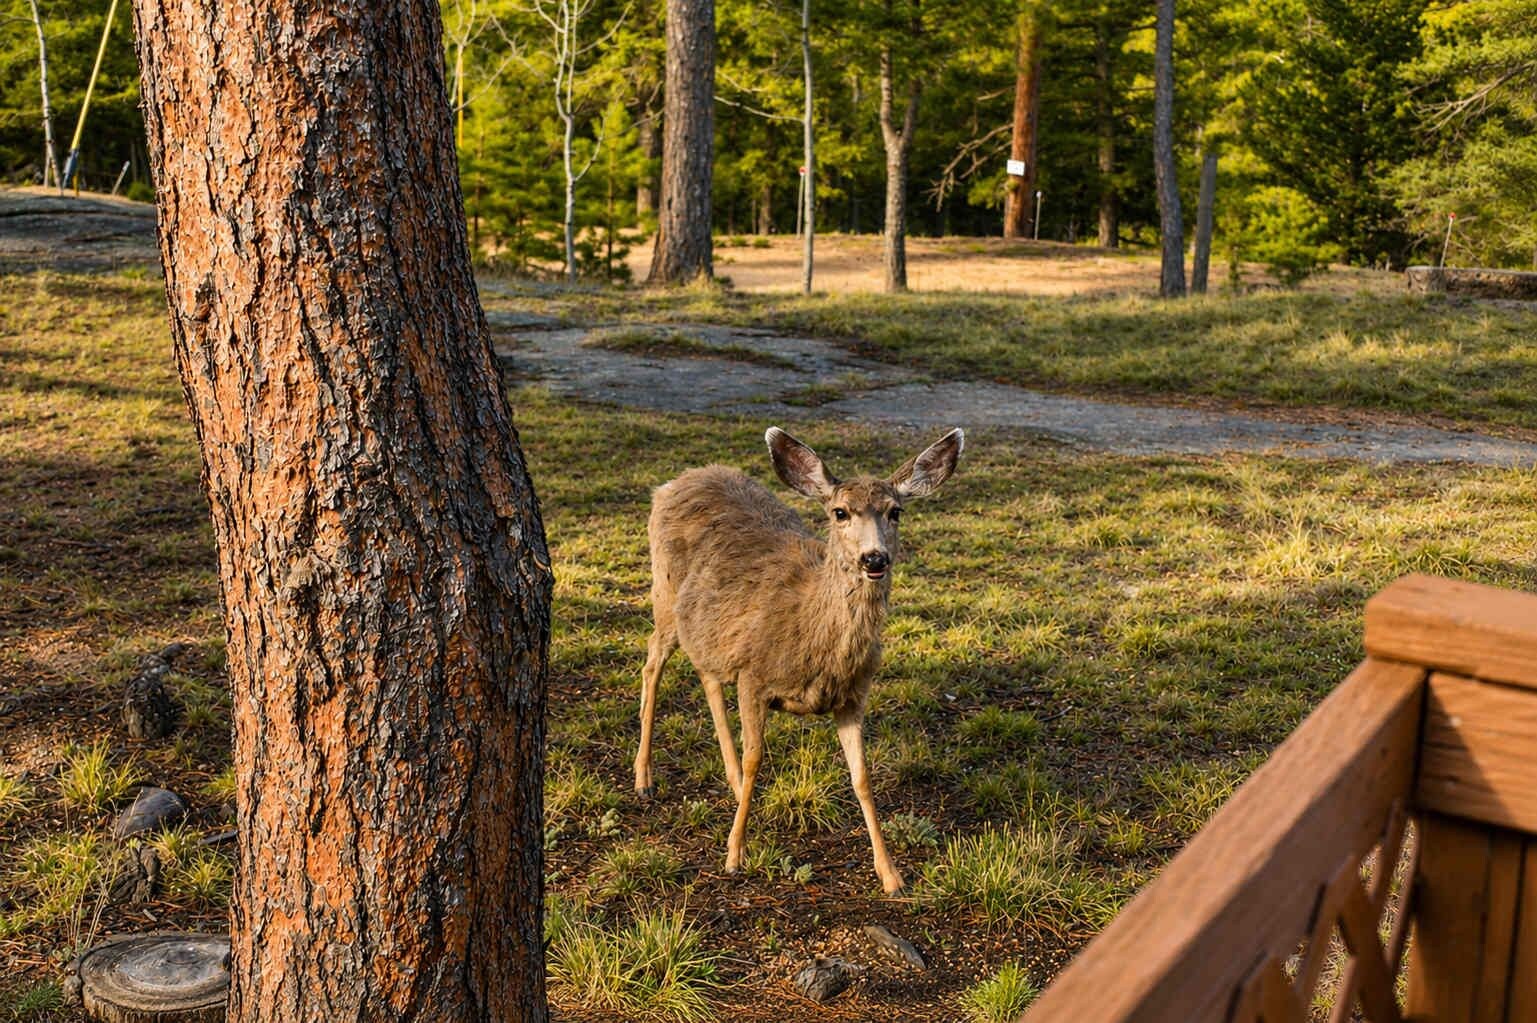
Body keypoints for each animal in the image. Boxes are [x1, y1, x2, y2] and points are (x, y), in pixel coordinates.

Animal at [632, 425, 964, 894]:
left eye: (895, 511)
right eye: (840, 512)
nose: (874, 558)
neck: (814, 639)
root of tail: (672, 483)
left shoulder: (853, 695)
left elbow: (862, 777)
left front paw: (891, 875)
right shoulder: (754, 675)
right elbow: (756, 758)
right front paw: (734, 855)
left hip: (706, 626)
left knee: (706, 673)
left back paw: (730, 782)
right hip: (664, 592)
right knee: (651, 662)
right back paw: (644, 778)